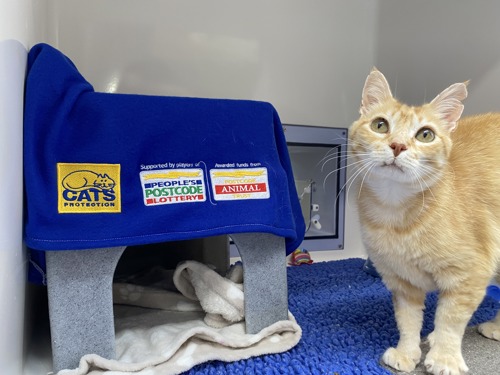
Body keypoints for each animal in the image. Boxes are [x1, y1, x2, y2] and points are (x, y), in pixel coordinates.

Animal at [350, 68, 500, 375]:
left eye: (426, 134)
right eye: (380, 125)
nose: (398, 146)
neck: (396, 217)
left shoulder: (470, 275)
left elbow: (450, 320)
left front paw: (445, 358)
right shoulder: (401, 281)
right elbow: (407, 321)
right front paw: (407, 352)